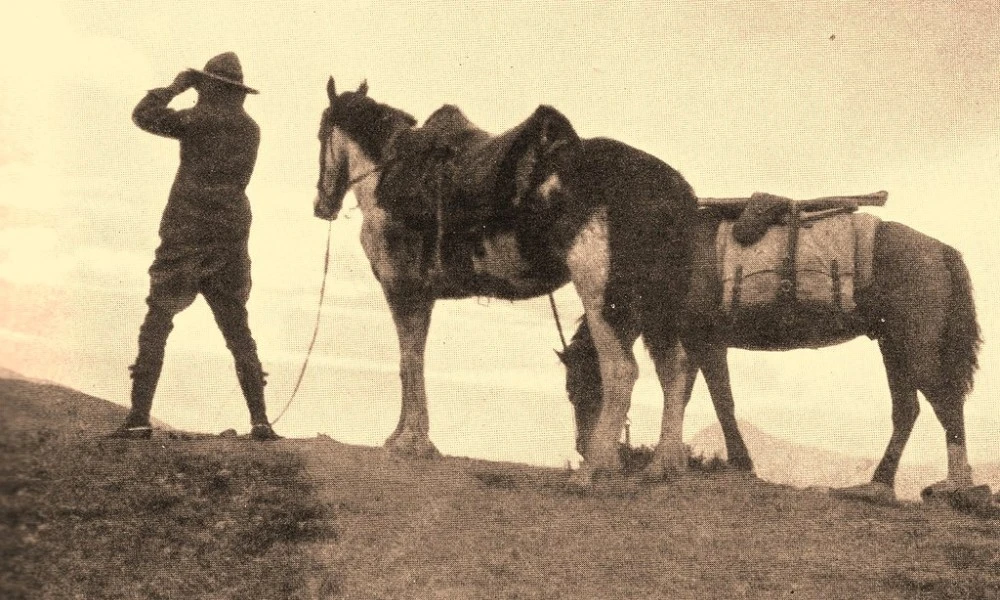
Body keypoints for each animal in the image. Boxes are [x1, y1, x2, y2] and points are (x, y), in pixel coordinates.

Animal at [312, 77, 699, 483]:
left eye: (322, 131)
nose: (322, 205)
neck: (388, 176)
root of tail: (673, 192)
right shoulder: (422, 295)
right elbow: (412, 360)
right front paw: (406, 438)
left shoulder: (402, 289)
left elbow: (409, 362)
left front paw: (410, 442)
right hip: (655, 304)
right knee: (675, 370)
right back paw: (664, 465)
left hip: (604, 297)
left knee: (621, 371)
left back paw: (594, 469)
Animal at [559, 206, 983, 502]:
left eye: (581, 388)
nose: (581, 446)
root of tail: (942, 251)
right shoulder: (697, 343)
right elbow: (684, 394)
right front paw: (668, 462)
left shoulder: (705, 339)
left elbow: (719, 400)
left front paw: (734, 463)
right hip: (892, 346)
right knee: (908, 410)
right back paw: (876, 485)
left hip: (915, 346)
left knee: (946, 402)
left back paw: (955, 487)